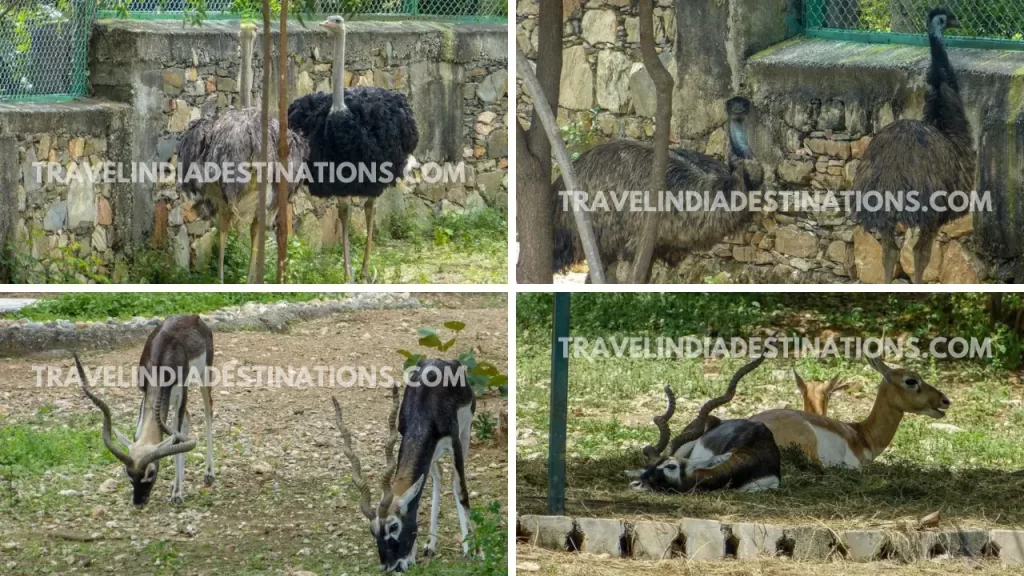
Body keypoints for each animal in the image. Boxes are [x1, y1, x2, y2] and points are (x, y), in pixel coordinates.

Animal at [76, 313, 216, 506]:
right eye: (128, 472)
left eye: (151, 472)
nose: (138, 502)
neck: (162, 356)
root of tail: (194, 317)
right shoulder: (144, 393)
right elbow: (142, 433)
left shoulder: (182, 393)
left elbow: (177, 440)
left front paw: (177, 494)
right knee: (187, 418)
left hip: (204, 376)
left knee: (208, 410)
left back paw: (209, 473)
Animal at [335, 356, 479, 569]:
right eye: (372, 530)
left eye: (394, 526)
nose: (390, 567)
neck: (425, 408)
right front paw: (412, 555)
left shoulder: (454, 443)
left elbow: (461, 492)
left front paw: (477, 550)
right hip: (432, 454)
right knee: (438, 478)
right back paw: (430, 545)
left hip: (465, 433)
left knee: (455, 482)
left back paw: (467, 547)